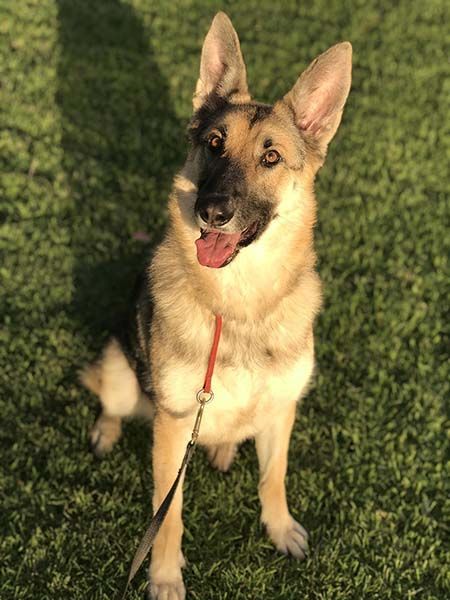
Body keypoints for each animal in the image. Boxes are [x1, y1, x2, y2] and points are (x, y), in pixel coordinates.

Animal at [81, 14, 352, 600]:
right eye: (213, 143)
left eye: (271, 157)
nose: (212, 211)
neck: (240, 304)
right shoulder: (174, 426)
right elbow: (169, 516)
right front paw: (163, 576)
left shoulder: (282, 408)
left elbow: (273, 478)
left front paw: (279, 528)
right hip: (122, 371)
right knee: (112, 398)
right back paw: (107, 432)